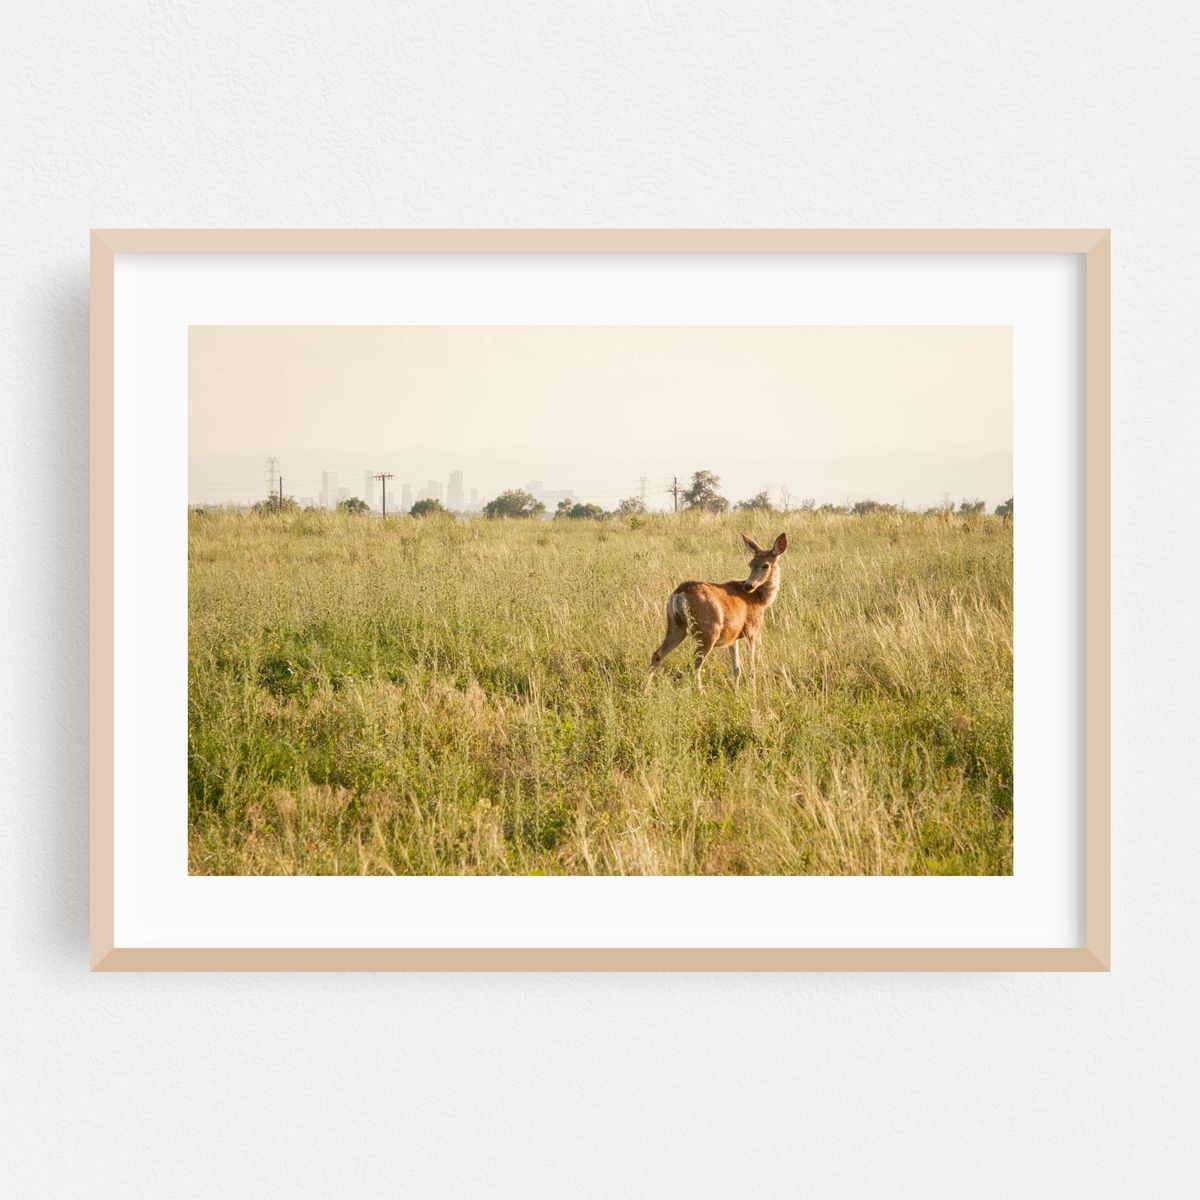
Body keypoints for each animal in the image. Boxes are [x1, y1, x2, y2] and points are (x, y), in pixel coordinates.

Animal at [649, 532, 787, 690]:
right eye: (751, 564)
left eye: (765, 565)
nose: (748, 585)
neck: (759, 599)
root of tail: (679, 593)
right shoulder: (752, 629)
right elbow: (752, 667)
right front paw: (752, 690)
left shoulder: (734, 636)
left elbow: (736, 668)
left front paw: (736, 691)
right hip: (708, 631)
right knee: (695, 665)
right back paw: (701, 693)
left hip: (676, 626)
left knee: (657, 654)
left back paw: (645, 690)